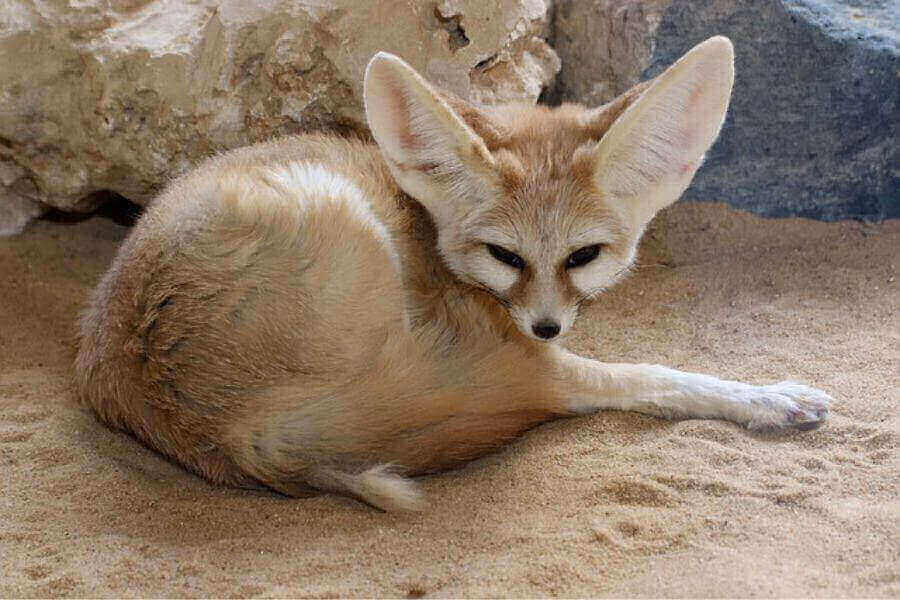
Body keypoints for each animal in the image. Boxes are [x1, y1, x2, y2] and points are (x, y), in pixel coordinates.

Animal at [75, 36, 830, 511]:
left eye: (583, 257)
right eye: (506, 257)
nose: (546, 326)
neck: (427, 223)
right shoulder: (528, 351)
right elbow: (658, 377)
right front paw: (768, 397)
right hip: (342, 216)